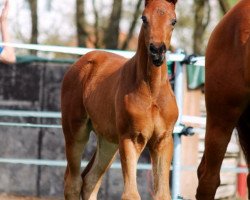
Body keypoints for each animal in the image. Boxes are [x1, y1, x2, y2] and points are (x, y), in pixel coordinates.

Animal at [60, 0, 178, 200]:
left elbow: (162, 194)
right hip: (76, 132)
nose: (157, 51)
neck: (152, 91)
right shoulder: (130, 139)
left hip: (109, 142)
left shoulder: (163, 141)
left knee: (90, 181)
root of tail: (81, 62)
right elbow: (131, 194)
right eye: (144, 18)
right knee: (73, 182)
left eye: (173, 21)